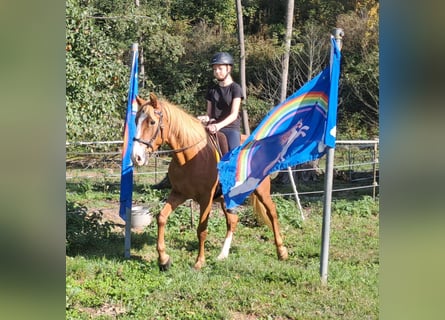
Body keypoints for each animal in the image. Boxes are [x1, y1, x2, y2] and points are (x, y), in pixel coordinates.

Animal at [130, 92, 288, 270]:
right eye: (136, 121)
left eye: (152, 121)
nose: (136, 157)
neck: (190, 156)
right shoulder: (179, 194)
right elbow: (162, 218)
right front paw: (164, 260)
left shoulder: (206, 199)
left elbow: (201, 229)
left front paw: (199, 261)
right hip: (226, 198)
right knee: (232, 220)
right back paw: (223, 254)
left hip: (262, 190)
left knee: (272, 213)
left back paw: (282, 251)